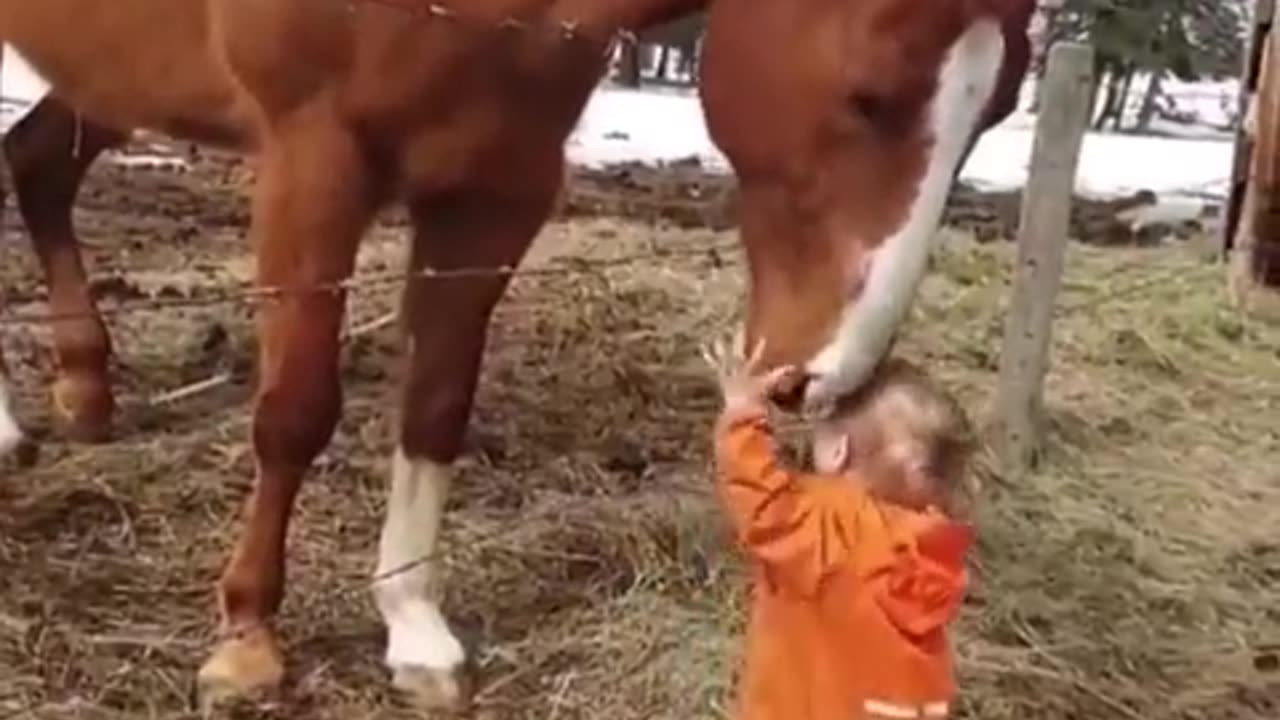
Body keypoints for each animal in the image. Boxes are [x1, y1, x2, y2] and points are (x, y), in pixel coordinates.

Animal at [0, 0, 1034, 707]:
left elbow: (436, 405)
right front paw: (250, 635)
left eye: (998, 109)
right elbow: (294, 411)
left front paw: (413, 625)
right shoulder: (313, 162)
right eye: (872, 96)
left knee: (39, 162)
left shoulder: (497, 190)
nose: (821, 380)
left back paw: (83, 386)